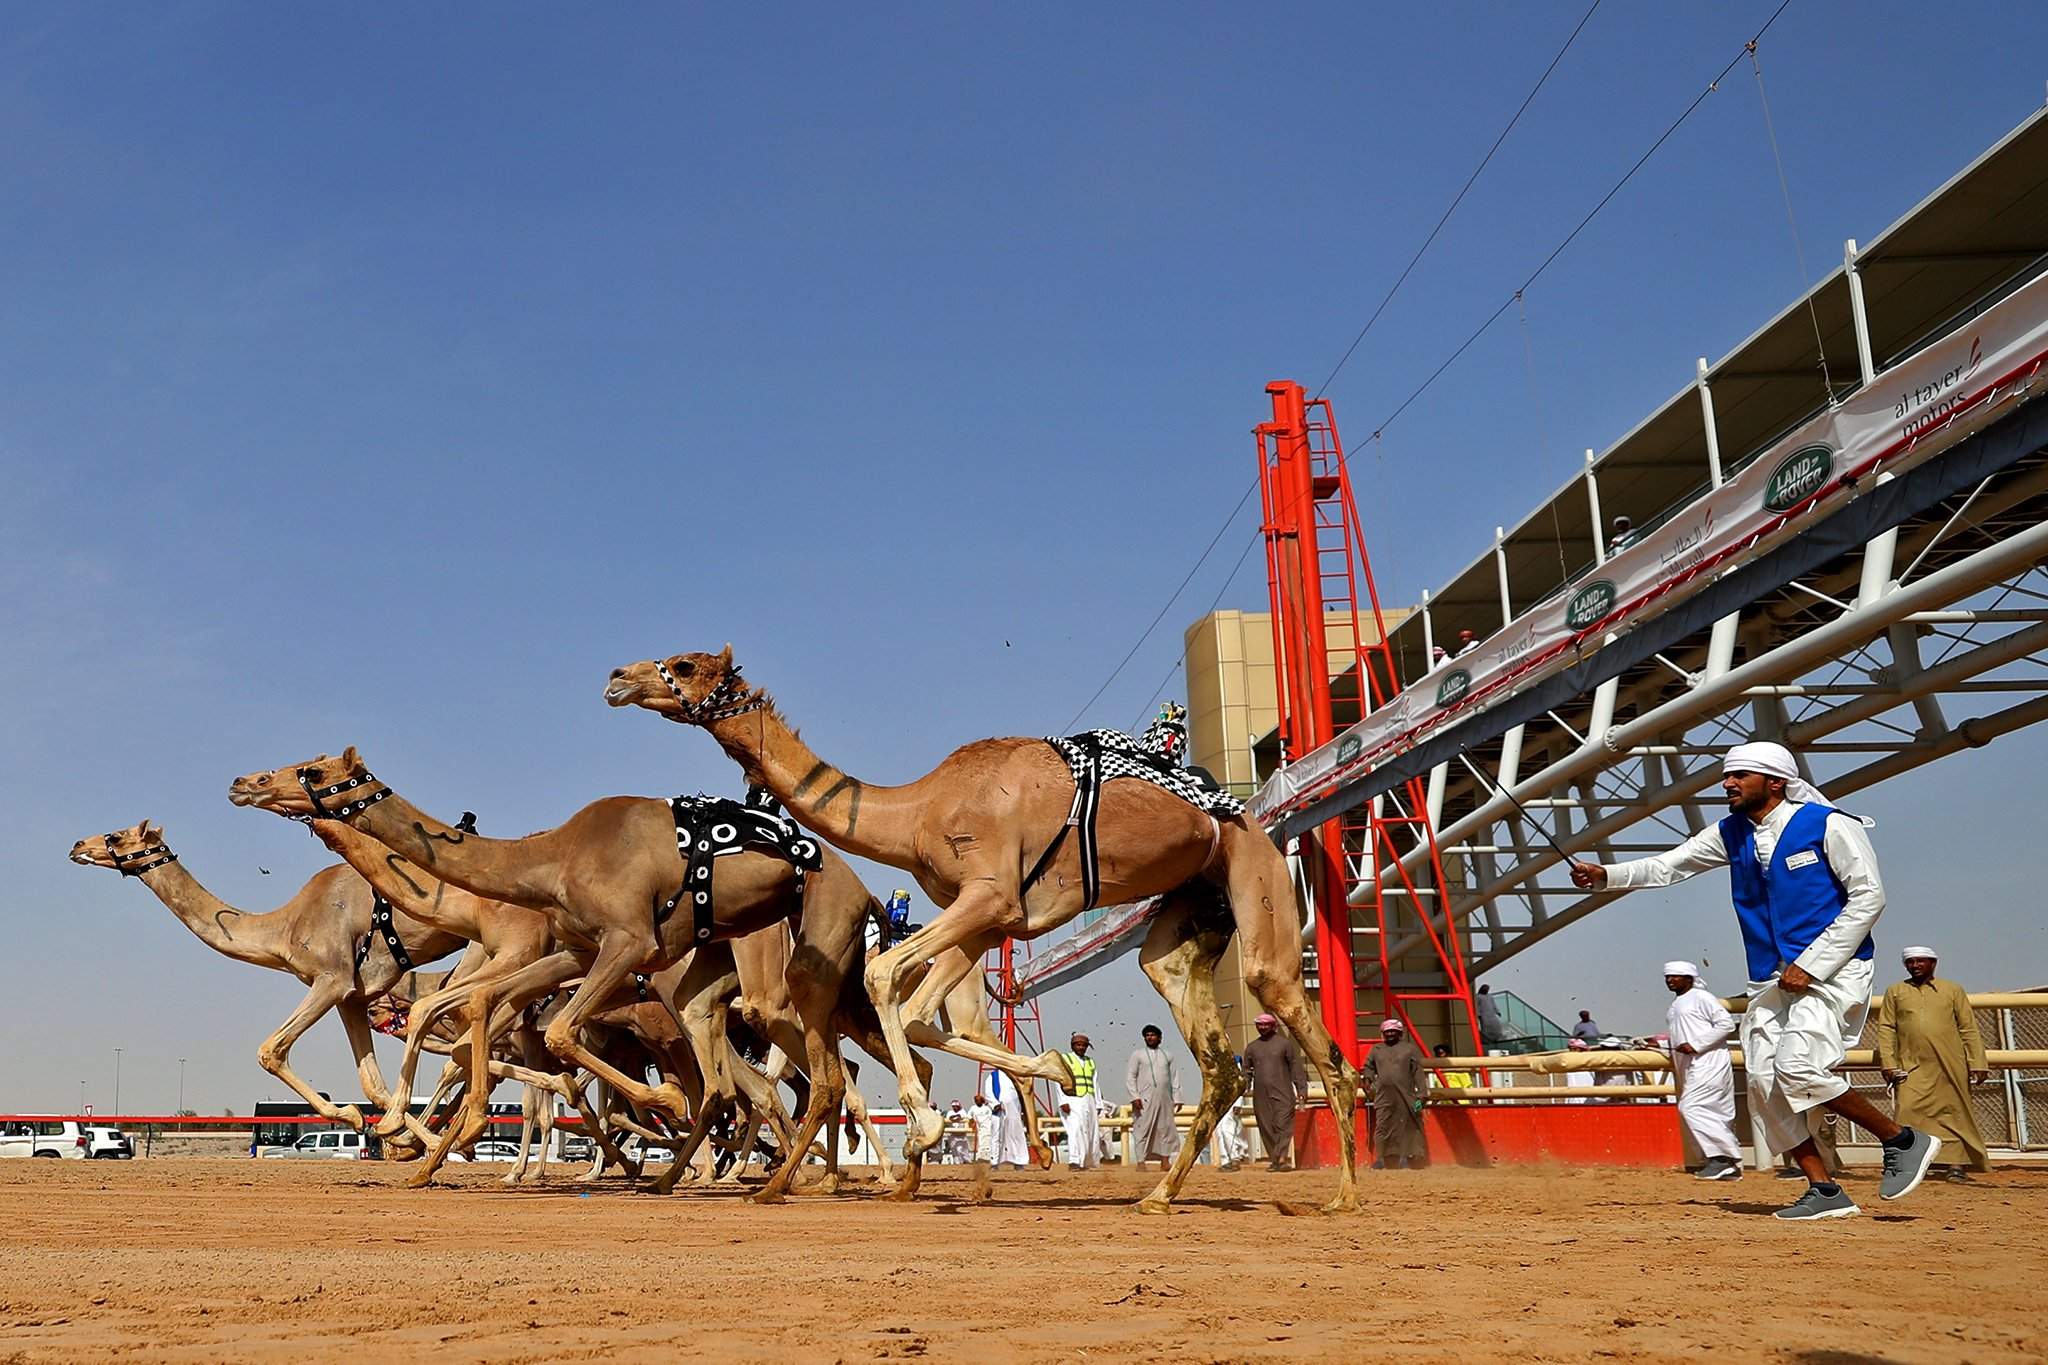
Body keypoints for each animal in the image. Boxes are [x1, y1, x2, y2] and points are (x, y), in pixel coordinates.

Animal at [69, 822, 464, 1154]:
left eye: (116, 835)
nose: (77, 846)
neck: (286, 927)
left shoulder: (331, 978)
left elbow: (270, 1050)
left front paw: (359, 1118)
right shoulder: (353, 995)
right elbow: (374, 1084)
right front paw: (421, 1140)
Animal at [602, 646, 1359, 1211]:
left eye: (686, 663)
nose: (617, 678)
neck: (916, 811)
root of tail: (1245, 811)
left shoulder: (989, 896)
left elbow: (884, 977)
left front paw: (931, 1125)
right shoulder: (985, 917)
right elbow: (920, 1011)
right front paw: (1036, 1077)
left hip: (1258, 878)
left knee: (1301, 1021)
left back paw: (1341, 1195)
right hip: (1192, 907)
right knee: (1201, 1033)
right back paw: (1159, 1195)